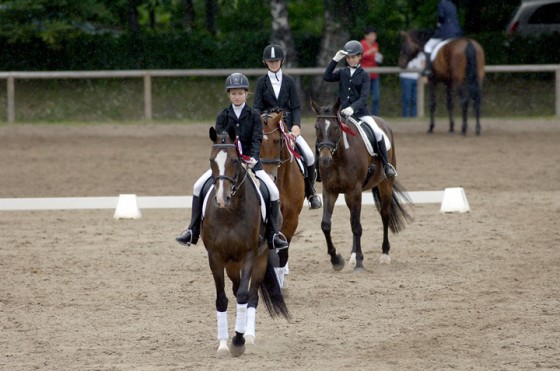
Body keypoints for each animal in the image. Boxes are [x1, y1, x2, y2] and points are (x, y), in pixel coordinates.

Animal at [201, 126, 288, 358]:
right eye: (211, 160)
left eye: (234, 160)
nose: (221, 199)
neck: (229, 214)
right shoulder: (215, 257)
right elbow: (222, 299)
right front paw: (223, 345)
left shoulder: (250, 254)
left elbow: (243, 296)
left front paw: (238, 341)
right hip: (232, 263)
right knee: (237, 287)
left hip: (260, 257)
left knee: (252, 296)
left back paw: (248, 337)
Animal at [310, 100, 412, 272]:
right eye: (317, 127)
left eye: (336, 127)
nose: (324, 160)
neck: (339, 157)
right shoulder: (330, 191)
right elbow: (326, 225)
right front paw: (336, 260)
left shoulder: (355, 191)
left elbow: (357, 226)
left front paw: (359, 262)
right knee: (353, 218)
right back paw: (352, 255)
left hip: (385, 184)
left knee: (384, 215)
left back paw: (384, 254)